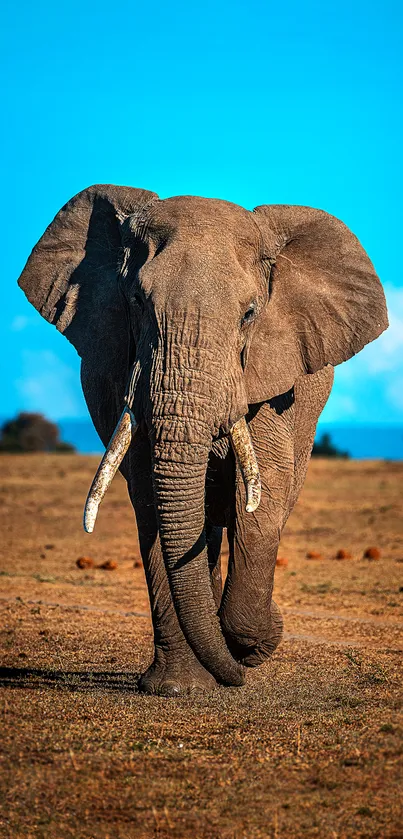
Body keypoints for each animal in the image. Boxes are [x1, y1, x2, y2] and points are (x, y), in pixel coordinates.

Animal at [17, 187, 390, 700]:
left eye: (250, 314)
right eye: (136, 302)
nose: (238, 672)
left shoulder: (269, 378)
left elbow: (262, 499)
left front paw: (249, 646)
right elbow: (153, 499)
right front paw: (178, 687)